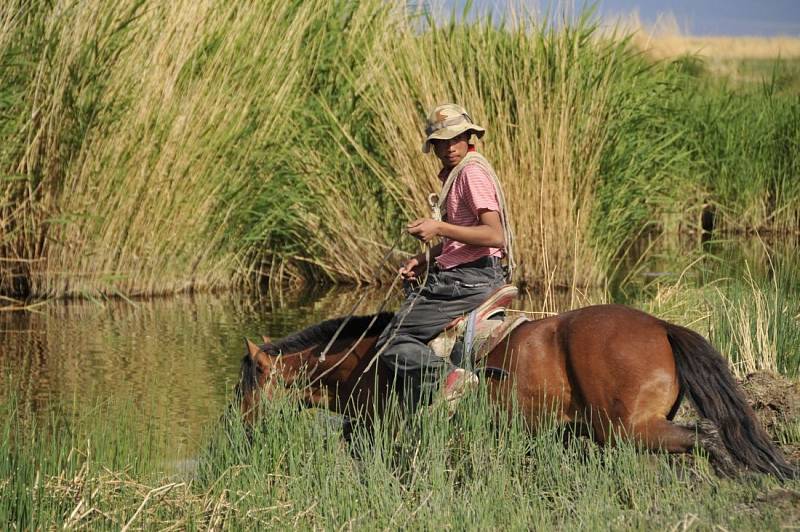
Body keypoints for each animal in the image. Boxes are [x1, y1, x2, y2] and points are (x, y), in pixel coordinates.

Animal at [236, 304, 792, 478]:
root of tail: (659, 326)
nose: (239, 432)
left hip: (631, 429)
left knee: (706, 439)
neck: (365, 360)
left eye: (245, 391)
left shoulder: (386, 430)